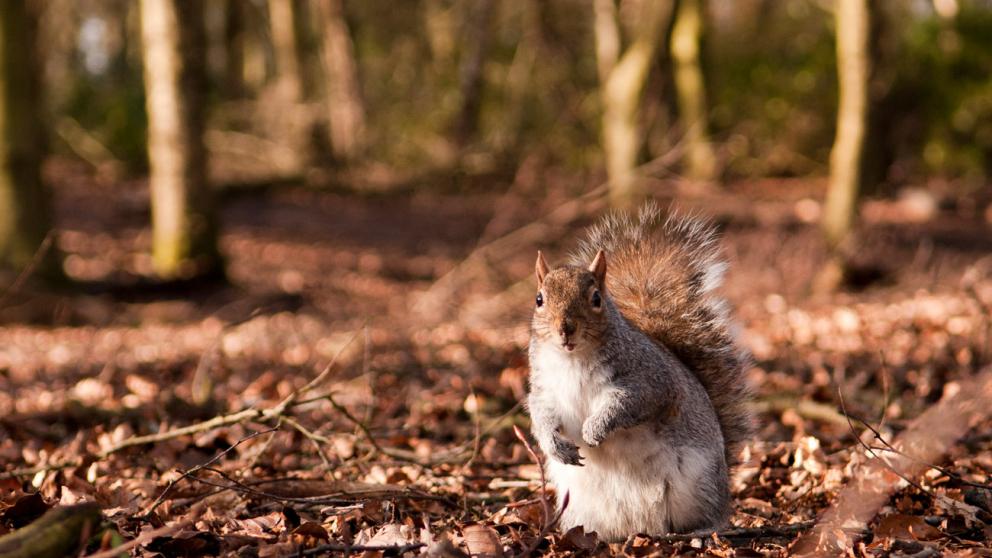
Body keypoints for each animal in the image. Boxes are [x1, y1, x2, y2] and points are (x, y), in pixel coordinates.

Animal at [527, 203, 753, 541]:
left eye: (596, 299)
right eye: (539, 299)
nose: (565, 329)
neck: (572, 359)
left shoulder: (650, 381)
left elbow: (628, 404)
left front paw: (594, 430)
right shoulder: (545, 387)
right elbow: (539, 414)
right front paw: (556, 446)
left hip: (700, 484)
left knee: (713, 515)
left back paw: (701, 528)